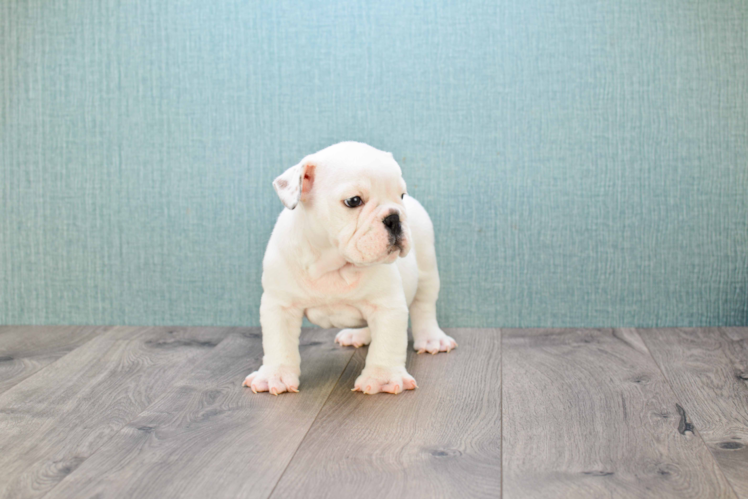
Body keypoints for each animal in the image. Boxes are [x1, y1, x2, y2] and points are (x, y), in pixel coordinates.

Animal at [245, 140, 456, 394]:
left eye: (401, 195)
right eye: (354, 201)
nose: (394, 217)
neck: (332, 263)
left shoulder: (387, 306)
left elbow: (387, 343)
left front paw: (383, 377)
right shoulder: (280, 305)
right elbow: (278, 344)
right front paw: (274, 375)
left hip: (427, 269)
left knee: (424, 307)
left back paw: (432, 338)